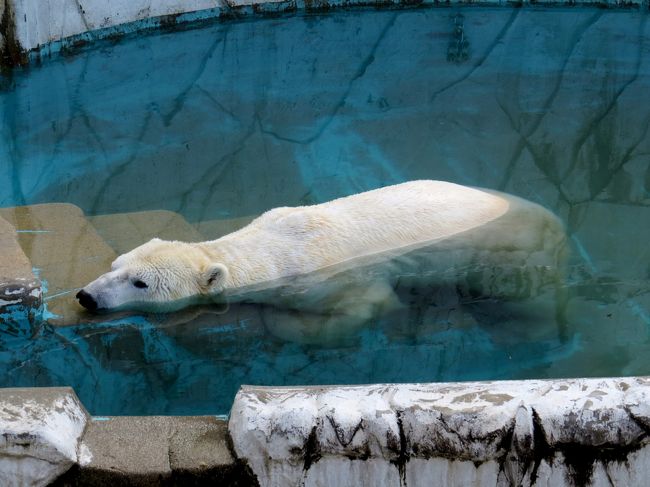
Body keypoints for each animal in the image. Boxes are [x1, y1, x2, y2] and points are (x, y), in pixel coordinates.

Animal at [76, 180, 564, 332]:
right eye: (115, 266)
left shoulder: (325, 278)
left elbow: (369, 305)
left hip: (511, 255)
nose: (86, 296)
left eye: (140, 283)